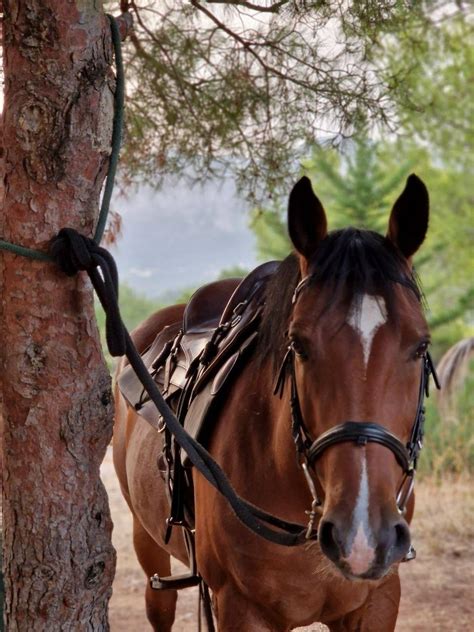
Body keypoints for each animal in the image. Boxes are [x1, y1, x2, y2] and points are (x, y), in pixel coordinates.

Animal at [114, 174, 434, 632]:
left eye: (421, 344)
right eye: (298, 344)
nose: (362, 536)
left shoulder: (378, 600)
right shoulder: (241, 608)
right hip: (148, 543)